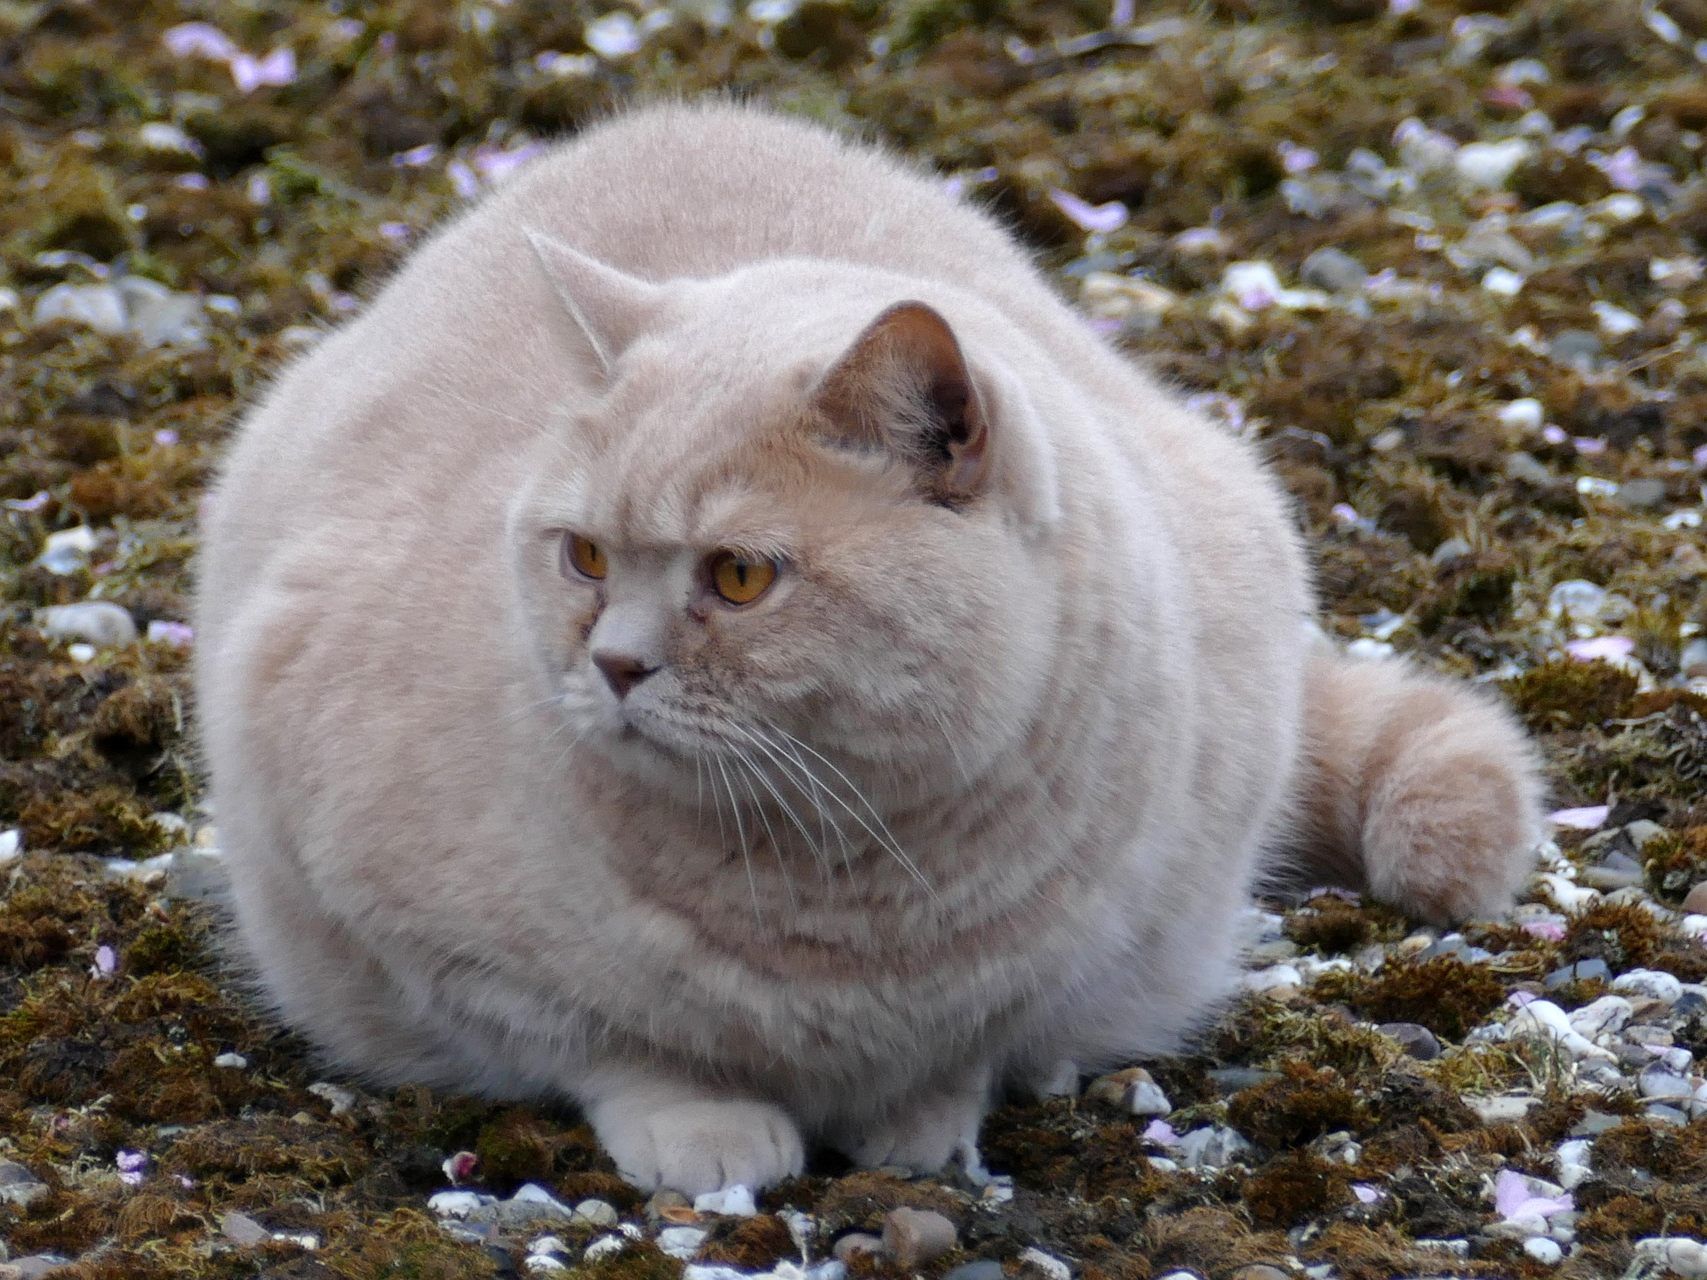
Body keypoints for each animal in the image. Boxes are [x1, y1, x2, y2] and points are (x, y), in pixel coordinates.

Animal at [190, 100, 1549, 1201]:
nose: (614, 666)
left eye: (739, 577)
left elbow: (961, 1053)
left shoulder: (1088, 938)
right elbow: (617, 1044)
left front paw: (915, 1122)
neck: (842, 872)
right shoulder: (402, 916)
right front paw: (707, 1125)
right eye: (581, 557)